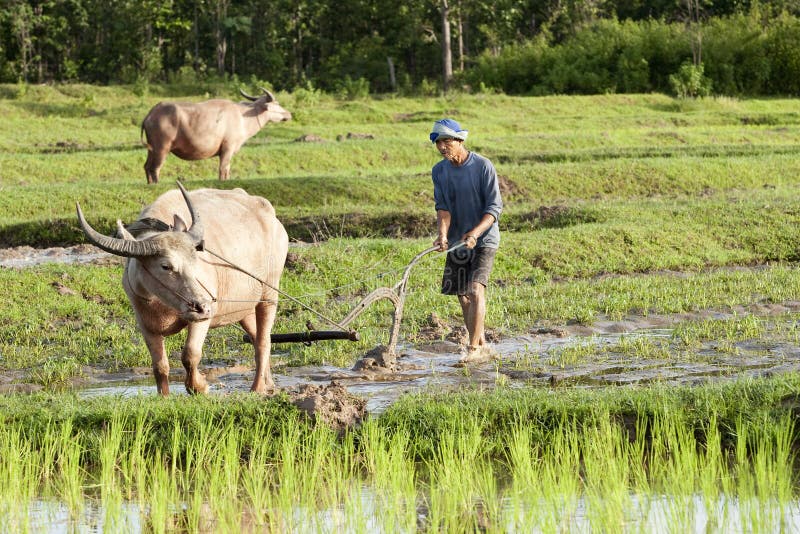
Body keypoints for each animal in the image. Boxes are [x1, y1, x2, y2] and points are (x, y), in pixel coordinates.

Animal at [76, 184, 290, 398]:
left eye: (194, 259)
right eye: (165, 266)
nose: (202, 307)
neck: (163, 304)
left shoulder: (202, 319)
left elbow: (190, 354)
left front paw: (199, 387)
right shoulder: (145, 324)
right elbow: (159, 366)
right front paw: (164, 396)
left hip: (269, 294)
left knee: (263, 341)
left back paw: (257, 388)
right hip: (243, 308)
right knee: (255, 336)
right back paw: (269, 383)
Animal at [140, 89, 290, 185]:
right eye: (277, 104)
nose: (289, 114)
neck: (243, 117)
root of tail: (150, 114)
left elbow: (227, 170)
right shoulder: (227, 148)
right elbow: (223, 170)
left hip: (151, 149)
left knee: (147, 166)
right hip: (162, 148)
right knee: (155, 168)